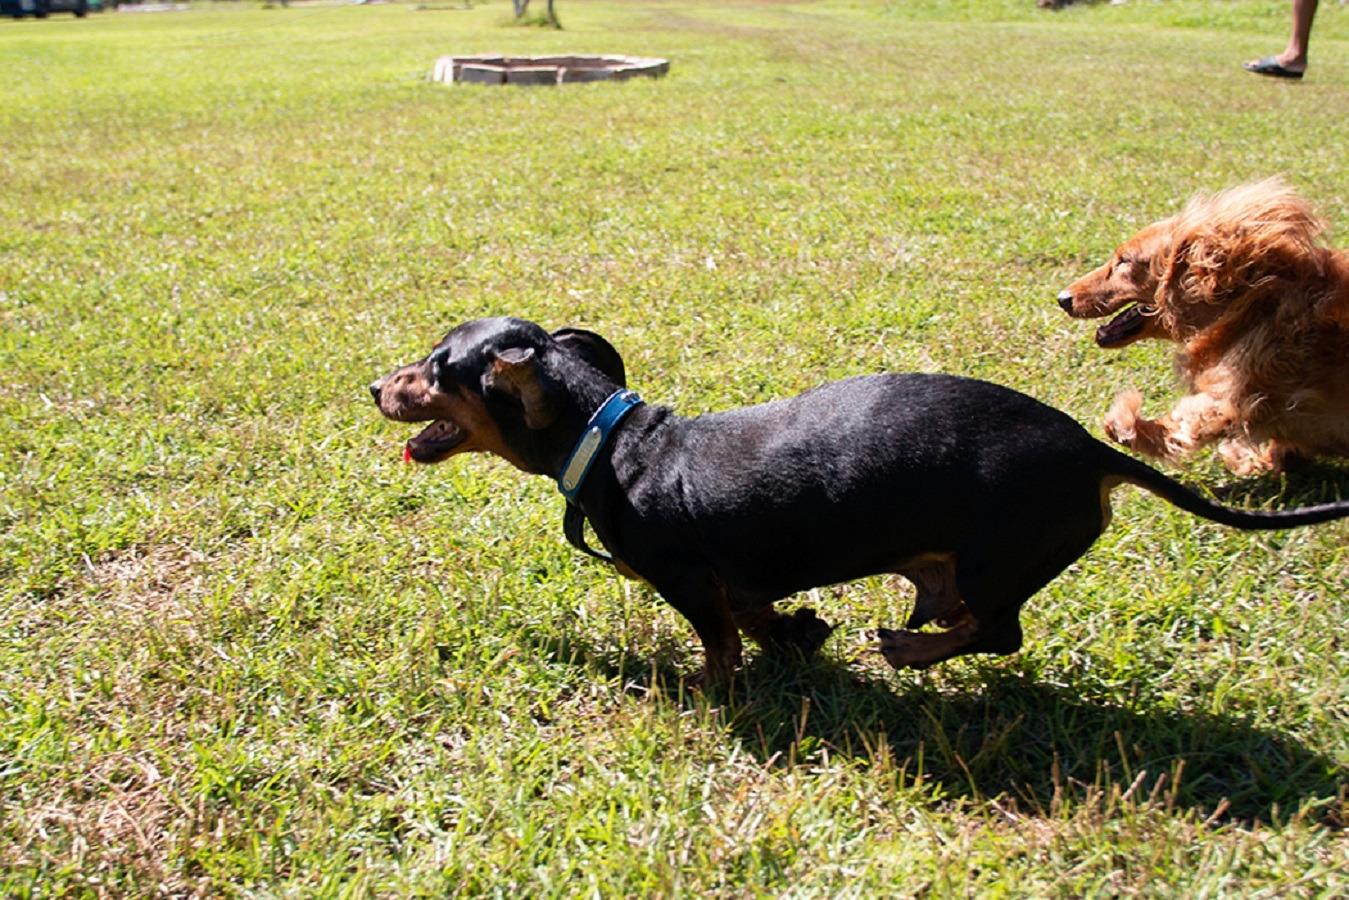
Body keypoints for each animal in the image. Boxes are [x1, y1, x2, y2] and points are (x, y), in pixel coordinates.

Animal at [1057, 180, 1343, 477]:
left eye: (1124, 260)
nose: (1062, 298)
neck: (1246, 306)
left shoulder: (1234, 397)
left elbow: (1183, 425)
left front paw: (1124, 421)